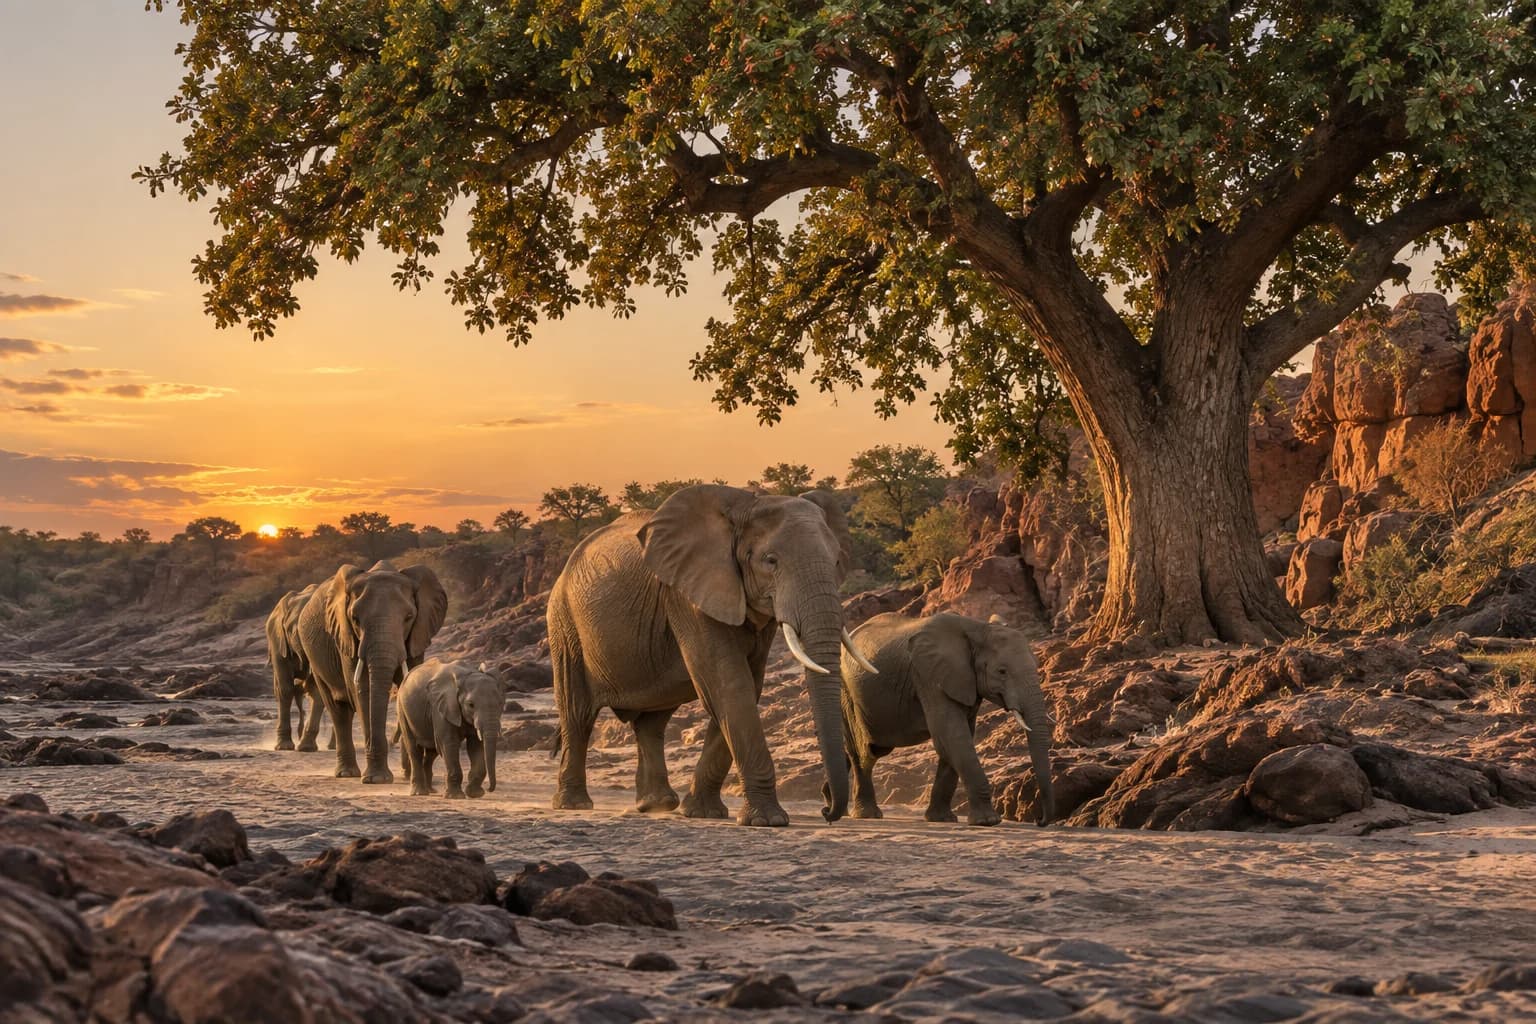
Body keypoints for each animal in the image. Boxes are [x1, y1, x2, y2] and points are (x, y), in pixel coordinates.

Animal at [297, 560, 448, 782]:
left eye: (409, 617)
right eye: (355, 618)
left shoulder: (417, 635)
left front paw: (408, 774)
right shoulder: (346, 637)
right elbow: (363, 690)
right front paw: (377, 779)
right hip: (315, 659)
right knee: (337, 709)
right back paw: (347, 773)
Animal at [397, 660, 504, 799]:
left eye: (500, 704)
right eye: (471, 705)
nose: (489, 789)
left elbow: (476, 745)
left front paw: (475, 794)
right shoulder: (441, 707)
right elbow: (449, 742)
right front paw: (456, 796)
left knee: (432, 751)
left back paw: (431, 790)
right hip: (402, 709)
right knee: (414, 749)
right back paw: (419, 793)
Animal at [547, 484, 869, 826]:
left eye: (837, 561)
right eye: (770, 561)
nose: (826, 811)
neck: (744, 508)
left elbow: (746, 686)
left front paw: (704, 813)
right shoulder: (687, 597)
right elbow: (729, 685)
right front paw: (767, 821)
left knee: (653, 722)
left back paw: (657, 804)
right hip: (564, 623)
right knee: (577, 713)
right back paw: (573, 804)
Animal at [835, 612, 1055, 826]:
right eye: (1002, 671)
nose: (1039, 820)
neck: (978, 628)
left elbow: (954, 739)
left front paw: (941, 819)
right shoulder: (929, 677)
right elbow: (952, 735)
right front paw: (988, 821)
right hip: (847, 693)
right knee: (864, 753)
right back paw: (867, 814)